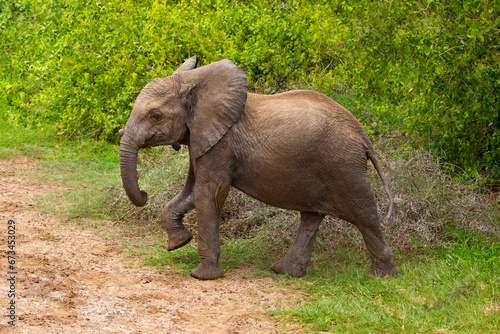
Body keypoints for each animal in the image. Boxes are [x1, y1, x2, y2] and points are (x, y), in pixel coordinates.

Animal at [119, 56, 396, 280]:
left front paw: (202, 276)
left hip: (343, 165)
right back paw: (285, 271)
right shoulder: (203, 138)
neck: (194, 84)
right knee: (311, 216)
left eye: (155, 116)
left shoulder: (222, 142)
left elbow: (208, 193)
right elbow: (190, 192)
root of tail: (363, 137)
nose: (144, 193)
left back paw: (381, 277)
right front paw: (178, 243)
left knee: (365, 216)